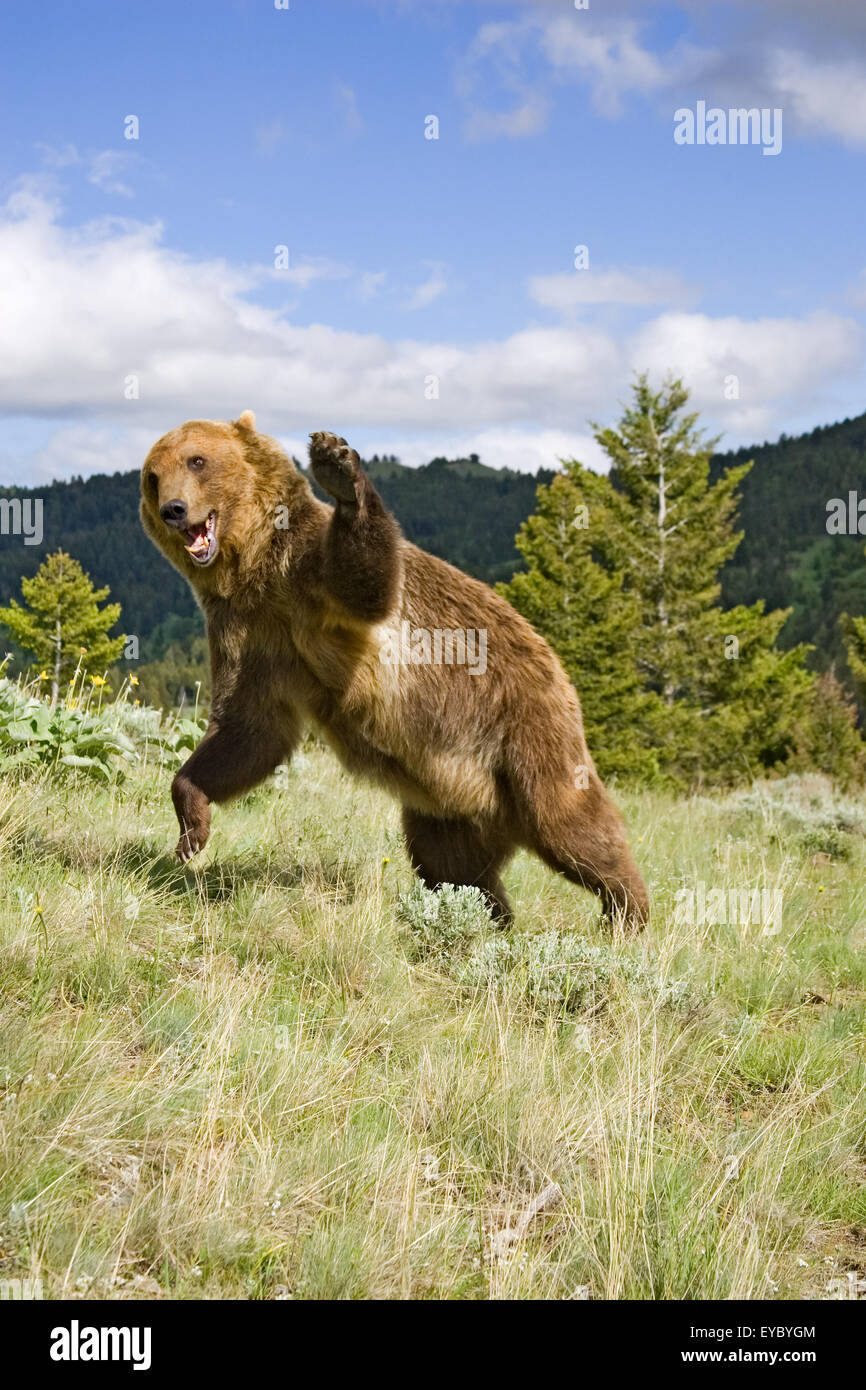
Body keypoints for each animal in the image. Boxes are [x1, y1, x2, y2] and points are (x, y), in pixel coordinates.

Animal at [139, 417, 647, 928]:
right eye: (153, 476)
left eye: (197, 460)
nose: (173, 510)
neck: (255, 568)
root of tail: (556, 666)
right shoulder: (248, 629)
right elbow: (250, 729)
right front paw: (191, 825)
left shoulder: (311, 579)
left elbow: (368, 582)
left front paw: (338, 467)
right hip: (450, 801)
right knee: (451, 863)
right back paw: (489, 917)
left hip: (523, 727)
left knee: (568, 822)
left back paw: (626, 910)